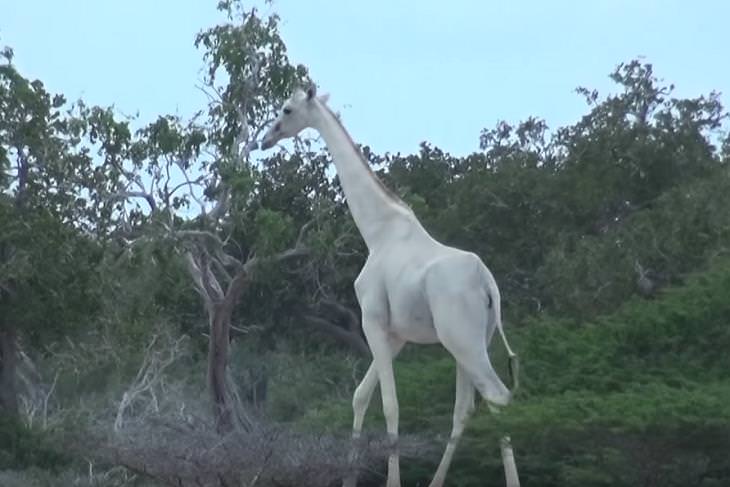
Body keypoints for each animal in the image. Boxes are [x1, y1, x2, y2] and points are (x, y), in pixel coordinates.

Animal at [258, 86, 520, 487]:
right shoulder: (396, 334)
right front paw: (349, 478)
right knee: (468, 408)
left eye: (286, 110)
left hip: (462, 340)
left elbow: (391, 405)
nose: (265, 139)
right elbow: (359, 396)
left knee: (496, 397)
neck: (377, 232)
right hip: (473, 340)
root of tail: (488, 285)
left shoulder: (372, 321)